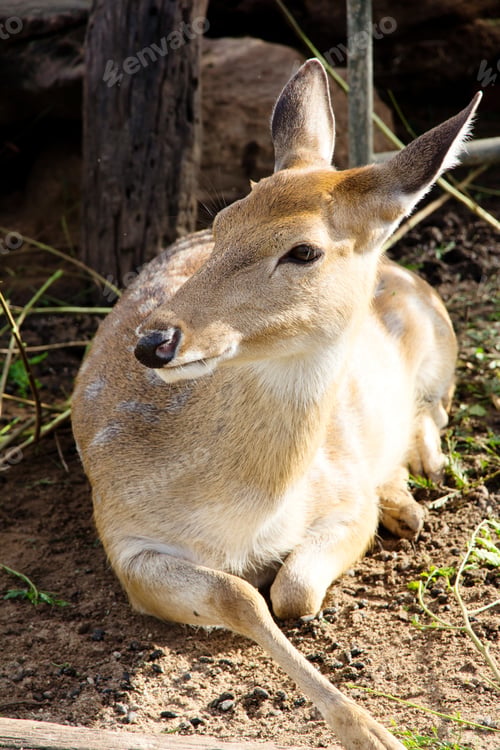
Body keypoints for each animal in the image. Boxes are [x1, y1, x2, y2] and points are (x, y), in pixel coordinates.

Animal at [72, 59, 481, 750]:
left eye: (304, 251)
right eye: (223, 222)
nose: (155, 342)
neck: (240, 515)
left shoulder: (345, 502)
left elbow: (291, 589)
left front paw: (374, 732)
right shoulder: (121, 534)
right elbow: (243, 596)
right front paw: (370, 730)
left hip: (440, 337)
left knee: (436, 412)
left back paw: (410, 493)